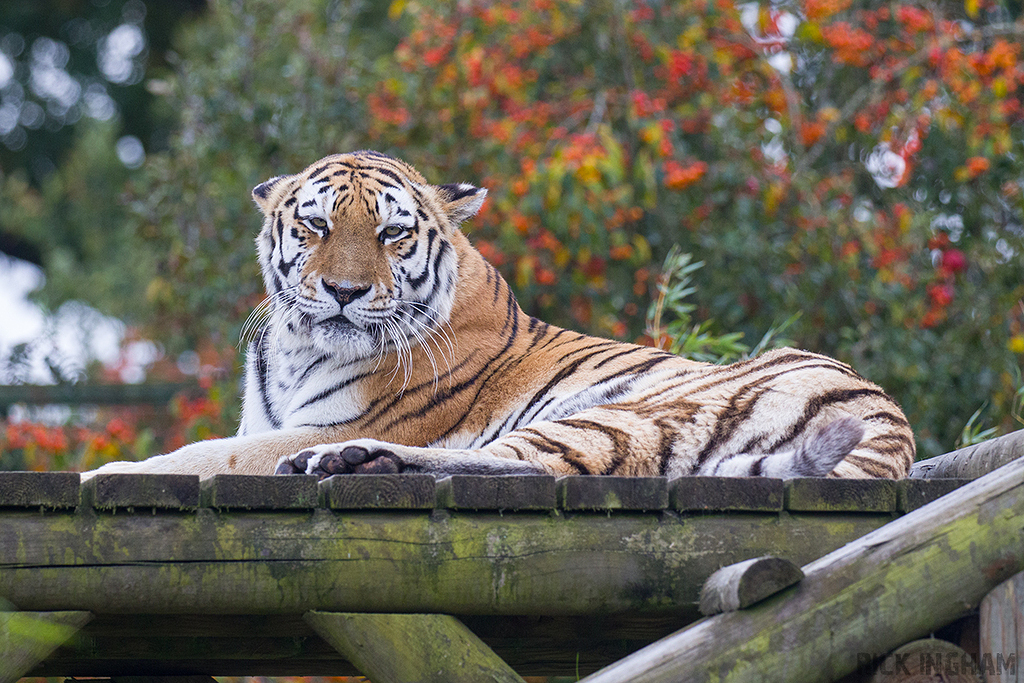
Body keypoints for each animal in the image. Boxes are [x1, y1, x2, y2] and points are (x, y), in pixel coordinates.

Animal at [86, 150, 915, 481]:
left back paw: (350, 460)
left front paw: (106, 472)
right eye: (317, 226)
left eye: (390, 234)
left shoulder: (316, 424)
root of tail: (890, 422)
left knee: (530, 461)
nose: (345, 292)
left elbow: (203, 456)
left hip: (634, 408)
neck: (297, 346)